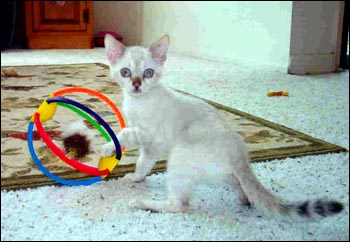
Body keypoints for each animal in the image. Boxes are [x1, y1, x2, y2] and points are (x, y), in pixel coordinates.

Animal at [102, 33, 344, 217]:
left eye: (148, 73)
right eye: (125, 72)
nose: (136, 85)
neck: (138, 102)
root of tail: (239, 152)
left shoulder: (151, 135)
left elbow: (125, 133)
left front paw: (109, 147)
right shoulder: (151, 147)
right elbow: (143, 163)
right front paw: (136, 177)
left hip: (179, 157)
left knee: (179, 205)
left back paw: (144, 203)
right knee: (243, 190)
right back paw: (244, 198)